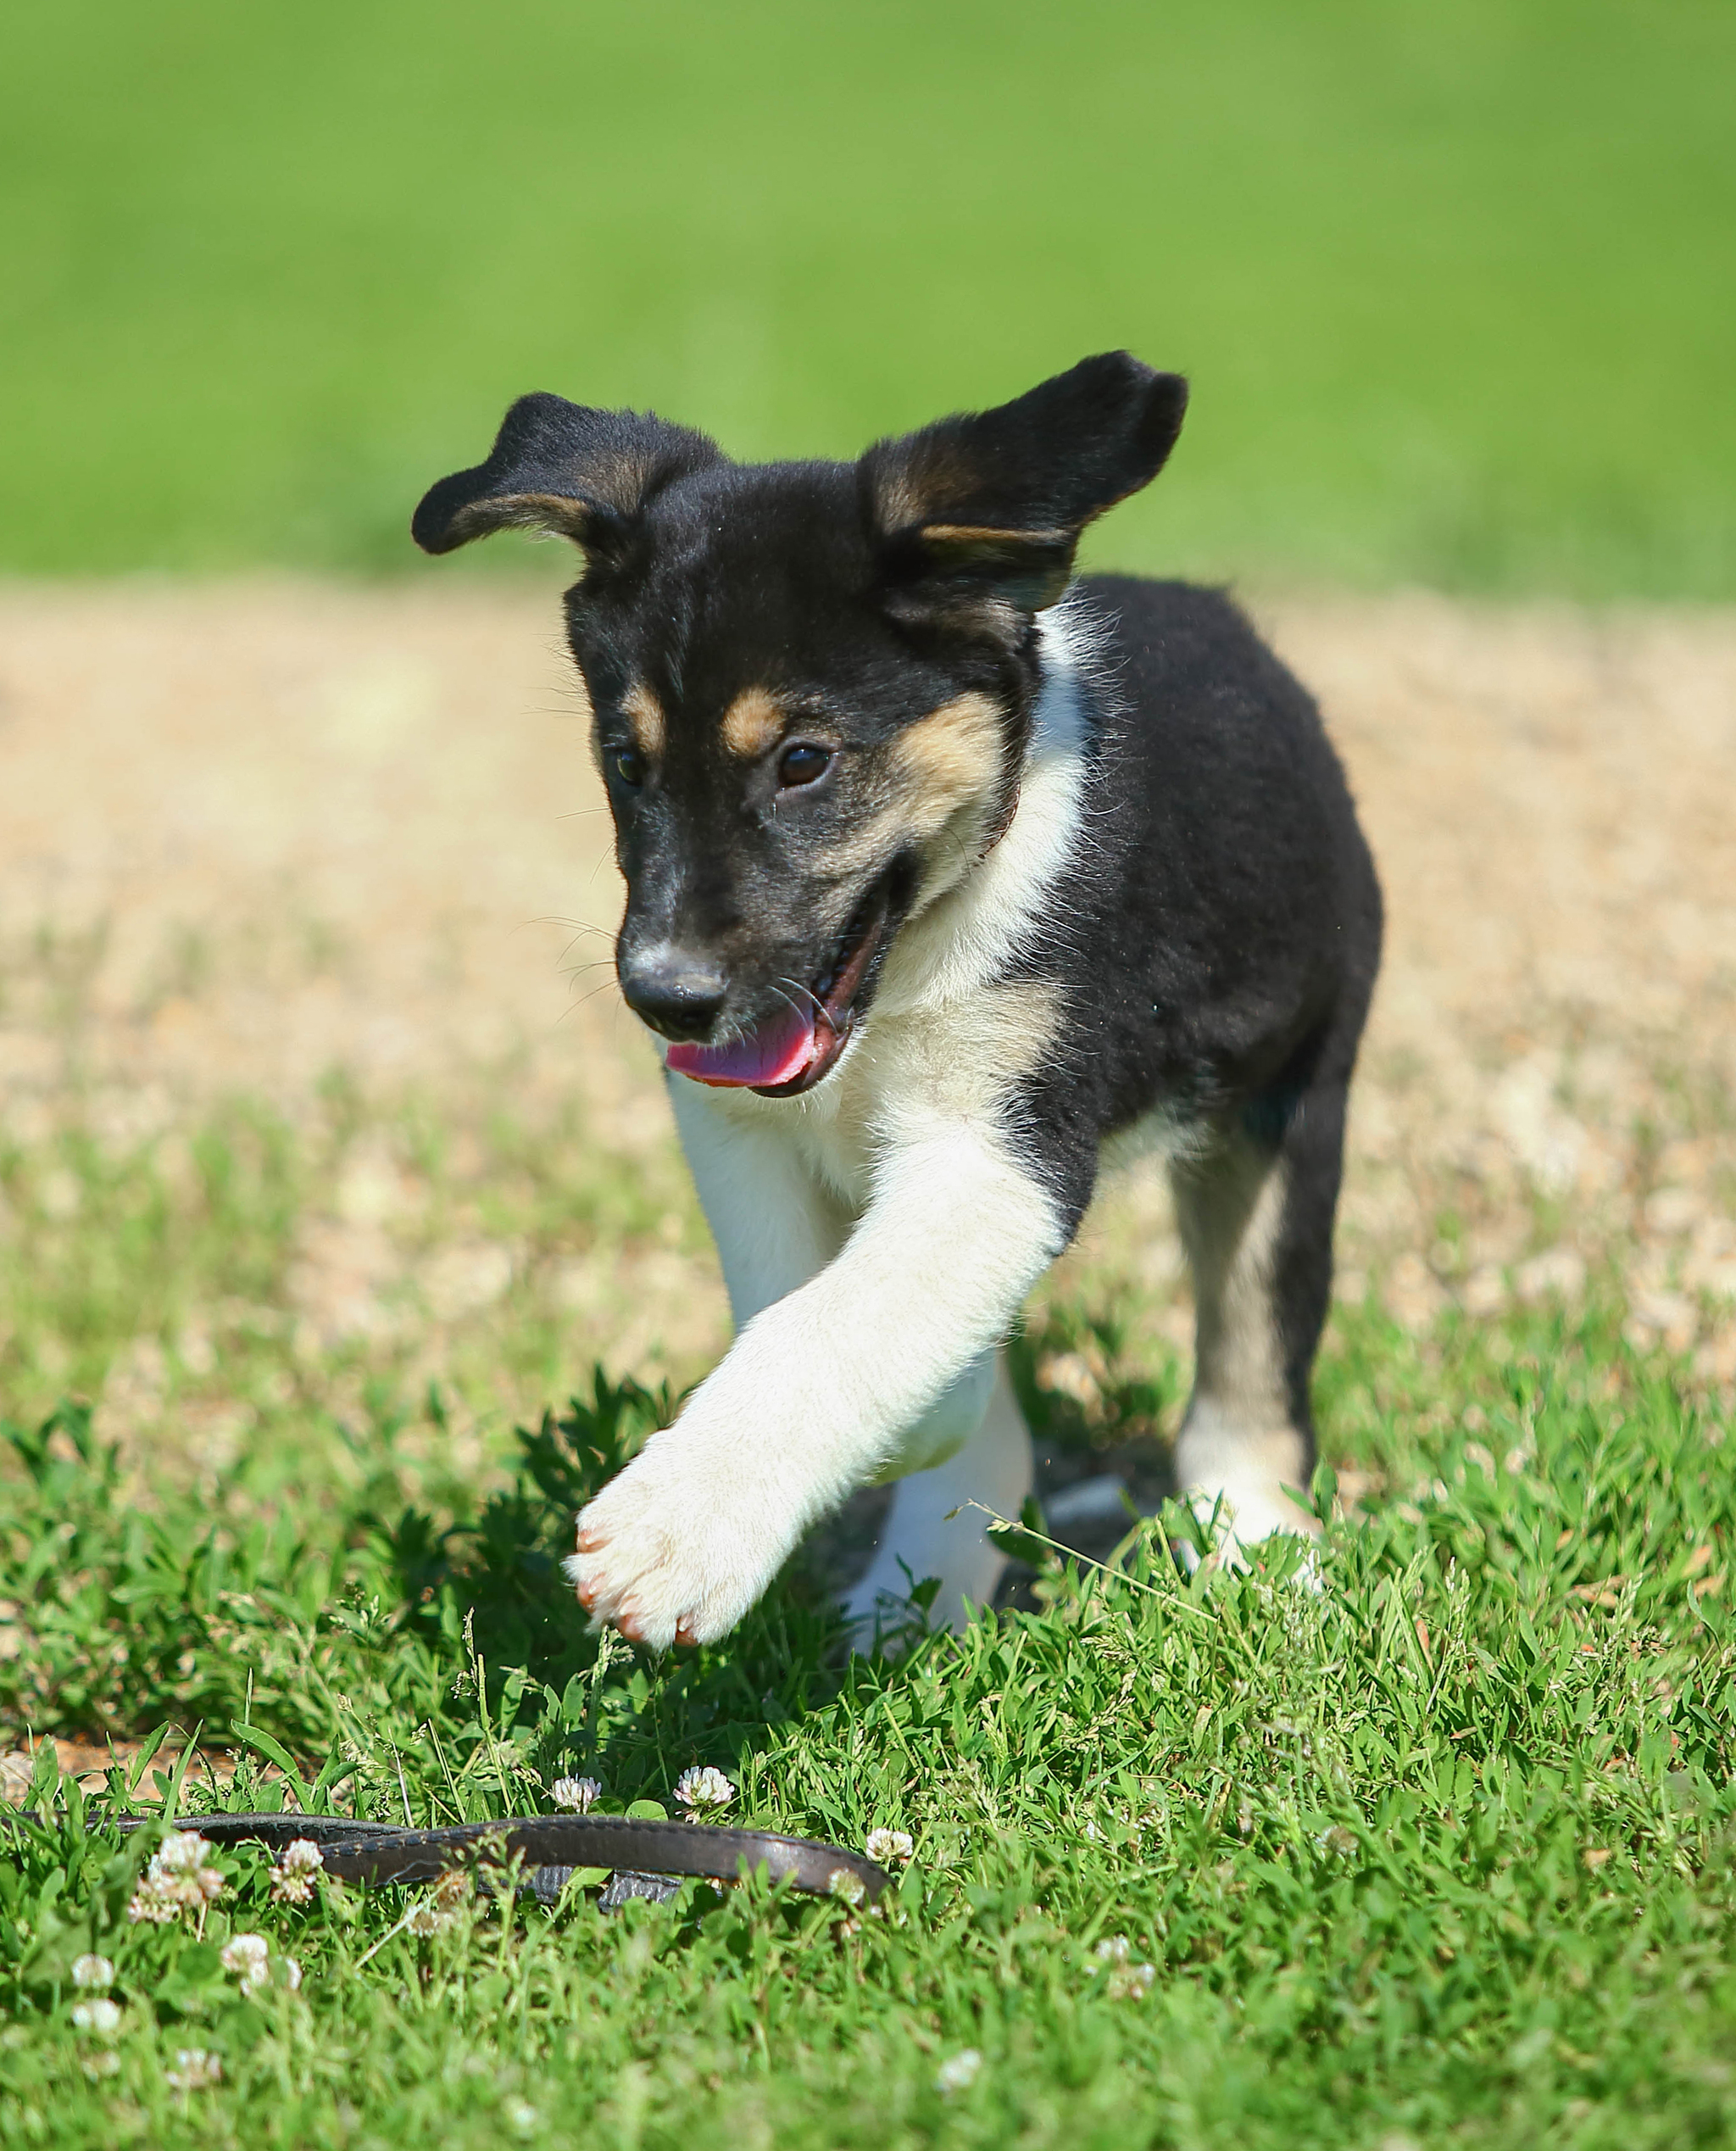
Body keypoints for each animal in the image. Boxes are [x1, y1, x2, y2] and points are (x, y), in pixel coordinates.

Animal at [417, 353, 1385, 1643]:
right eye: (627, 766)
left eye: (803, 762)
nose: (663, 1001)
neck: (908, 972)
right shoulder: (730, 1119)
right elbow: (800, 1298)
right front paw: (936, 1416)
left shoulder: (999, 1150)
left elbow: (836, 1324)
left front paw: (680, 1530)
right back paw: (912, 1594)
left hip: (1286, 1106)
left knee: (1247, 1384)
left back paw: (1262, 1564)